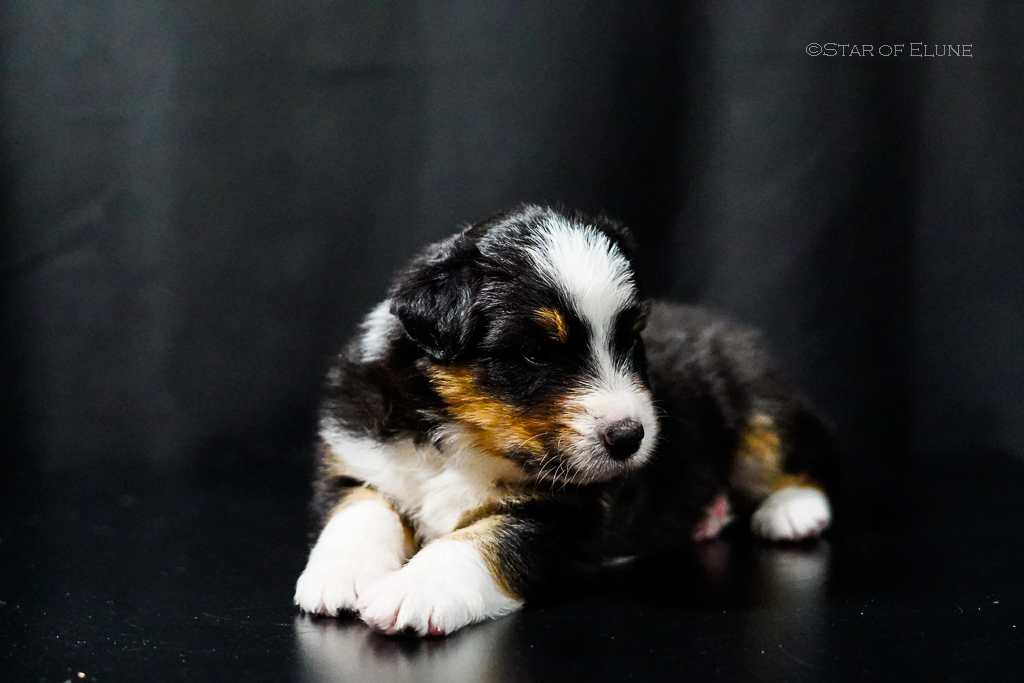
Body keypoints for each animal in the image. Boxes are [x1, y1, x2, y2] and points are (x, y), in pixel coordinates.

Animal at [294, 205, 838, 636]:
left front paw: (414, 589)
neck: (464, 439)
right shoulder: (360, 454)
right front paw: (340, 575)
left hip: (759, 401)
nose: (630, 437)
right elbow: (362, 510)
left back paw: (792, 511)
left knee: (797, 458)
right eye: (535, 352)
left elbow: (484, 542)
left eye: (630, 340)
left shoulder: (565, 514)